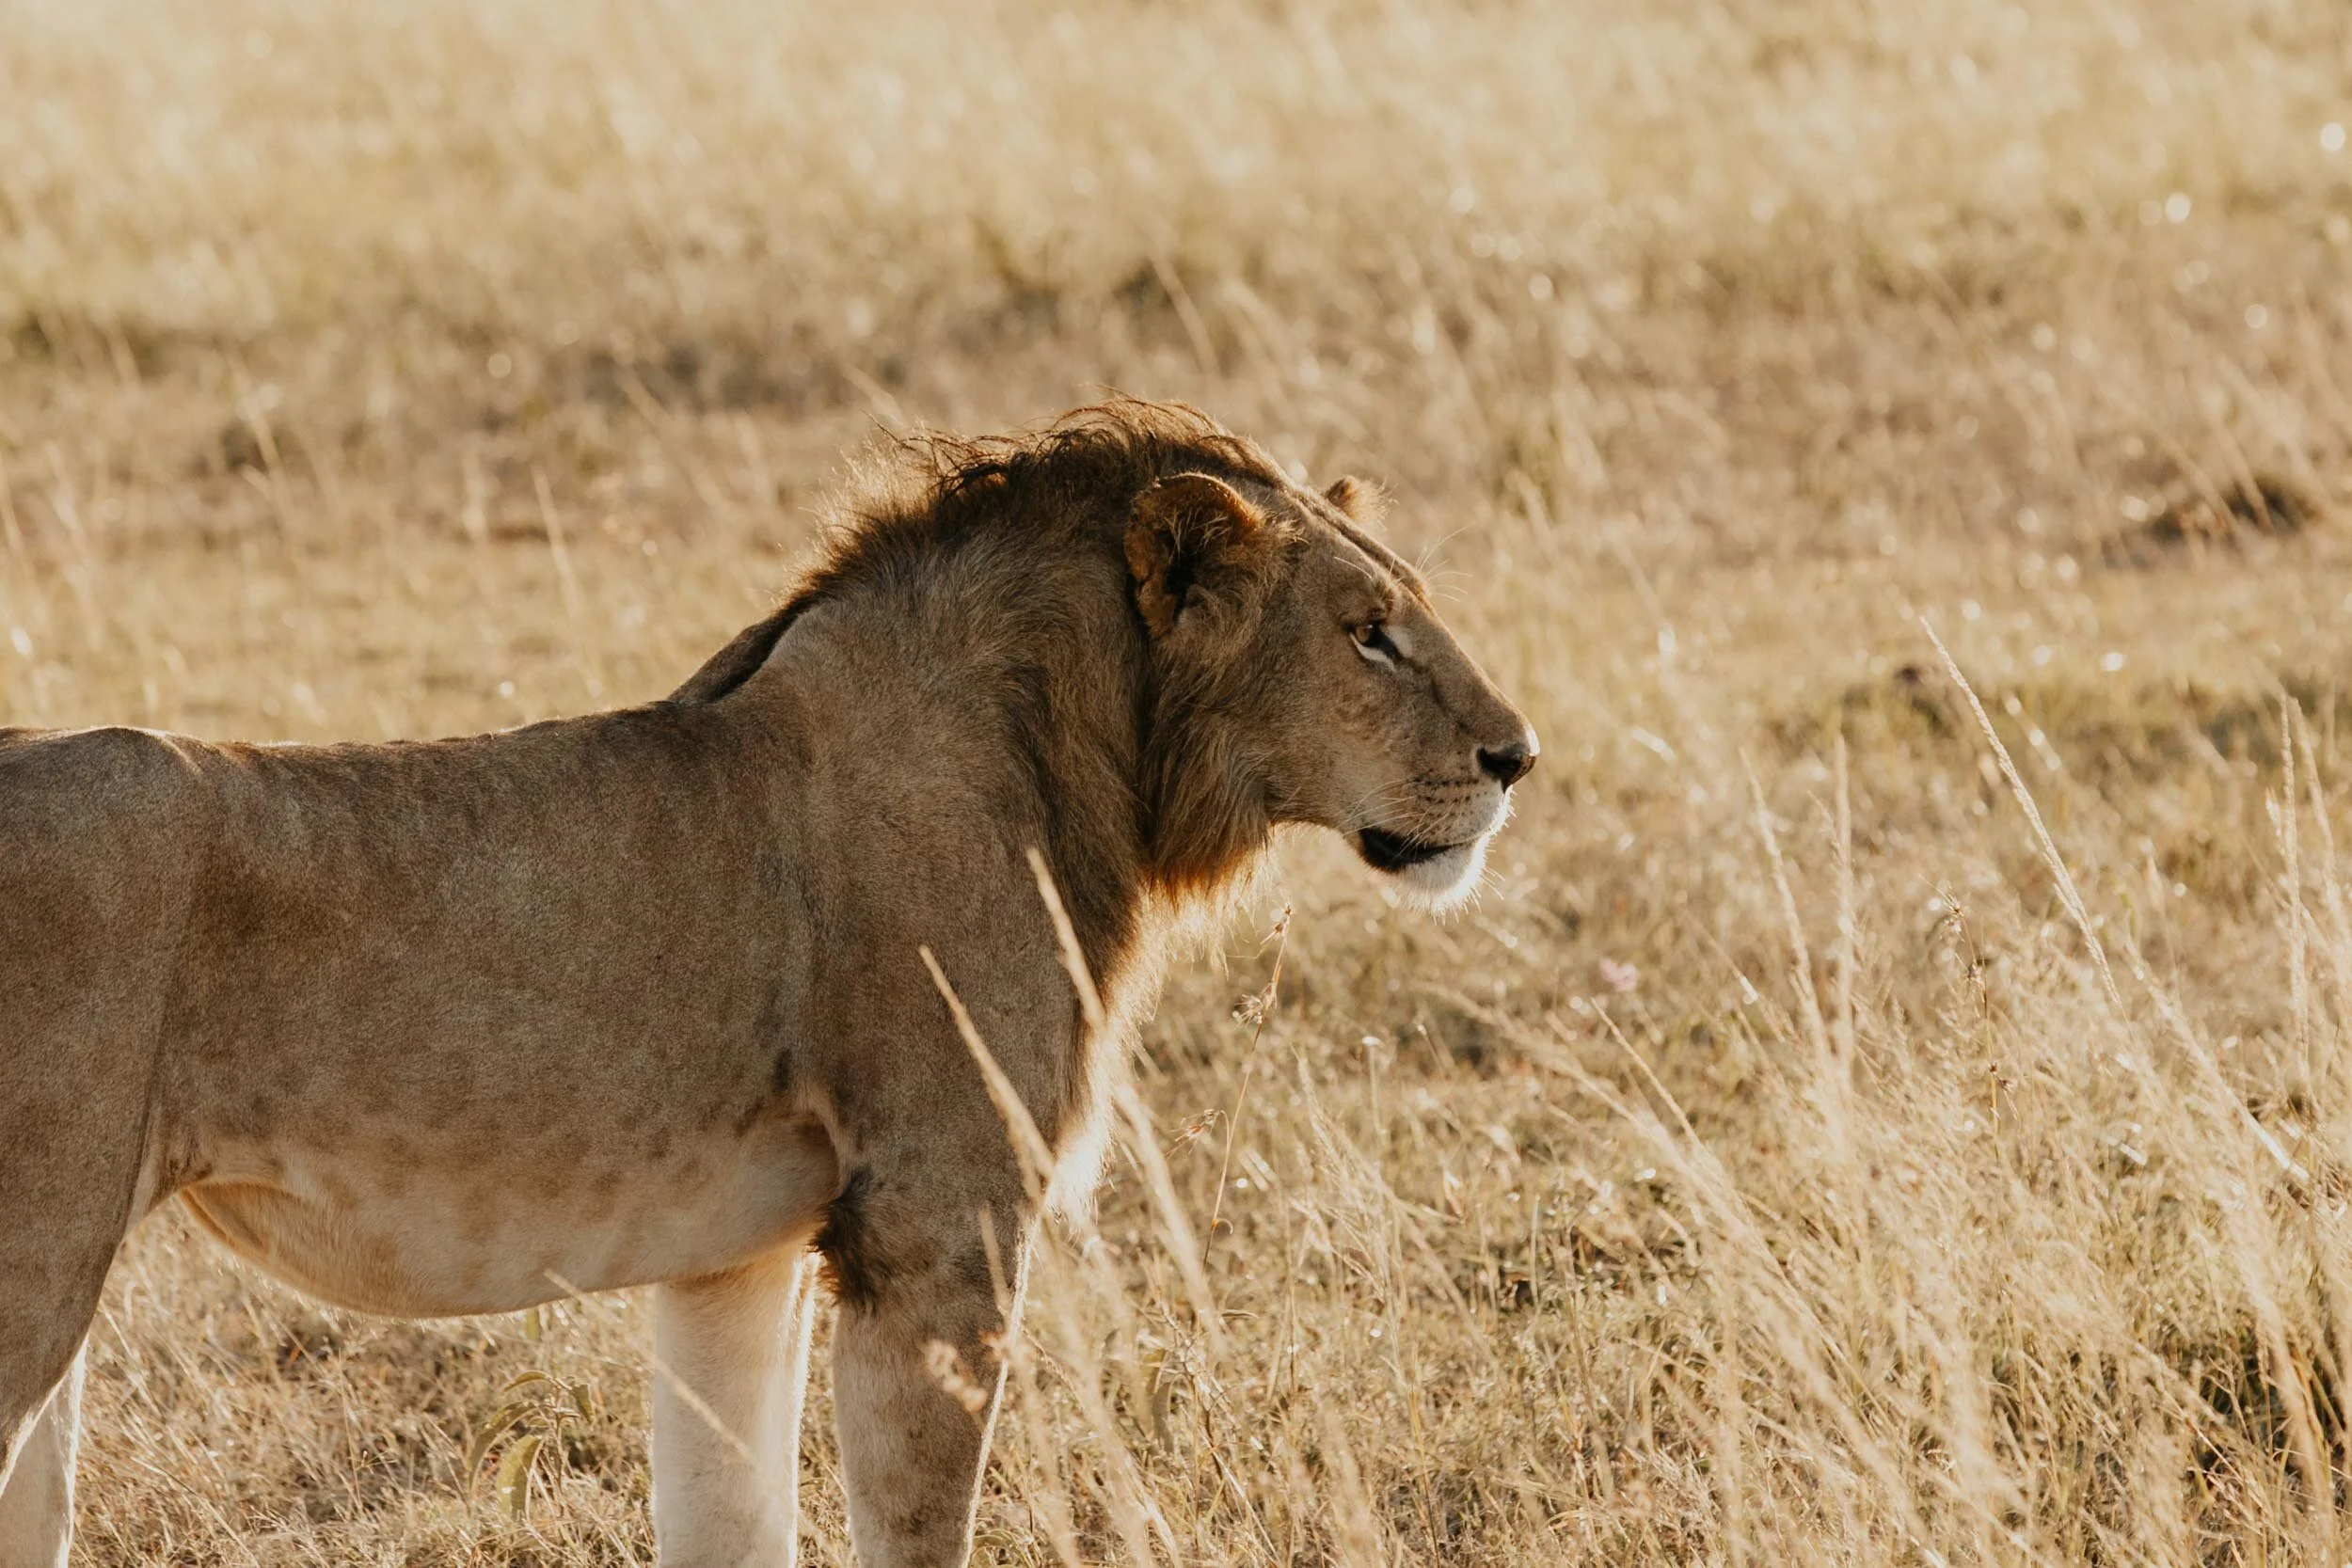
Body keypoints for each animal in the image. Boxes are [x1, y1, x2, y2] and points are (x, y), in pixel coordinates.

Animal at [0, 400, 1536, 1567]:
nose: (1518, 756)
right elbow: (912, 1532)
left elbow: (729, 1517)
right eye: (1368, 630)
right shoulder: (935, 1229)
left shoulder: (735, 1255)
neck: (1086, 756)